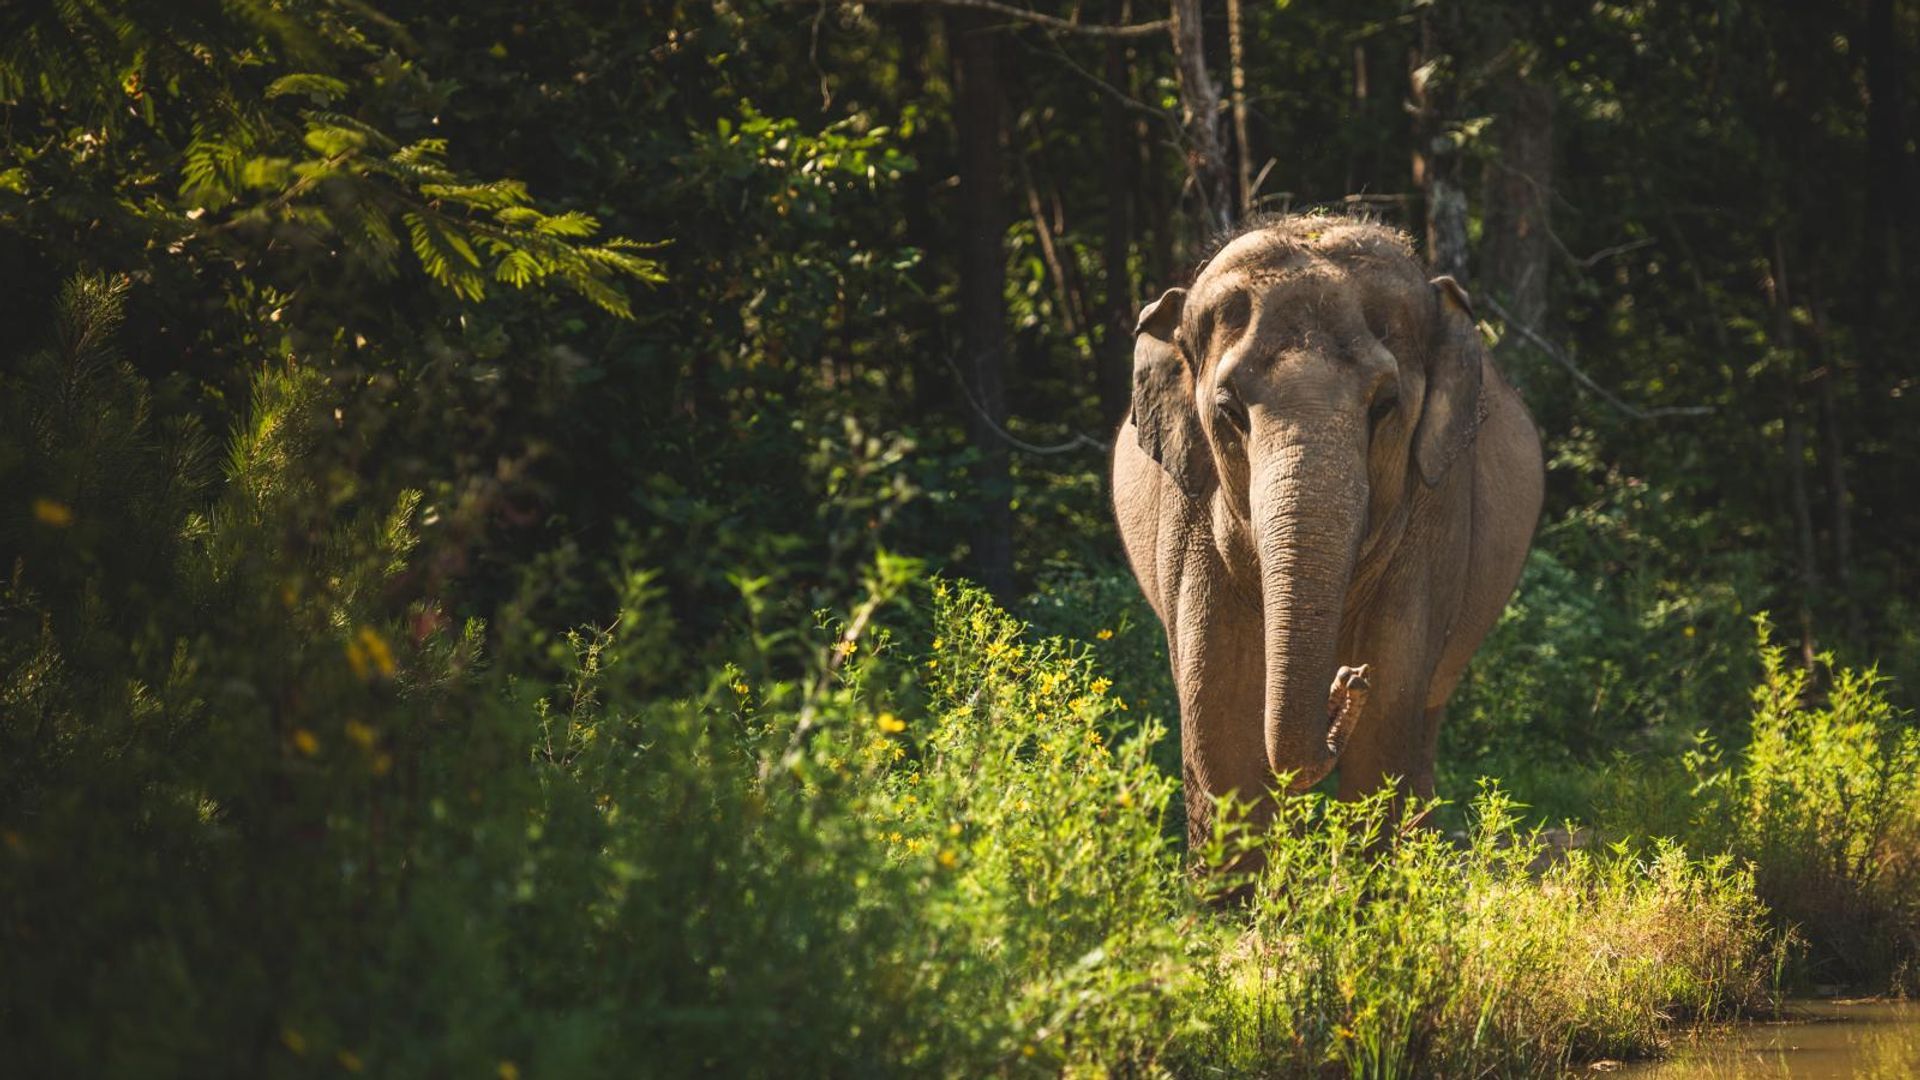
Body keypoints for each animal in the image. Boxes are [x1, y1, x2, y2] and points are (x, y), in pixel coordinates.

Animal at [1113, 214, 1543, 845]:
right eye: (1229, 411)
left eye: (1385, 405)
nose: (1348, 678)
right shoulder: (1189, 513)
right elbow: (1217, 708)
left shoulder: (1437, 508)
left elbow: (1391, 704)